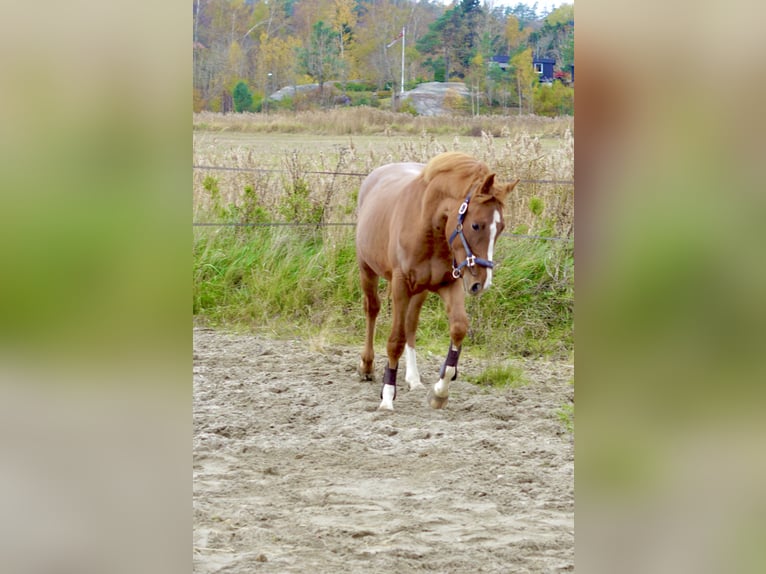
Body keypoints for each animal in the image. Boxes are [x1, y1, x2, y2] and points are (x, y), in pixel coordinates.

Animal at [355, 151, 519, 410]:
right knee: (372, 310)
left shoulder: (450, 284)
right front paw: (388, 397)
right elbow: (395, 340)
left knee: (411, 324)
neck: (427, 228)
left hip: (420, 290)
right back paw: (367, 366)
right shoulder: (401, 285)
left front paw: (440, 391)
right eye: (476, 225)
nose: (481, 284)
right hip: (367, 270)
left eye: (500, 227)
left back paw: (413, 379)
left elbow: (459, 327)